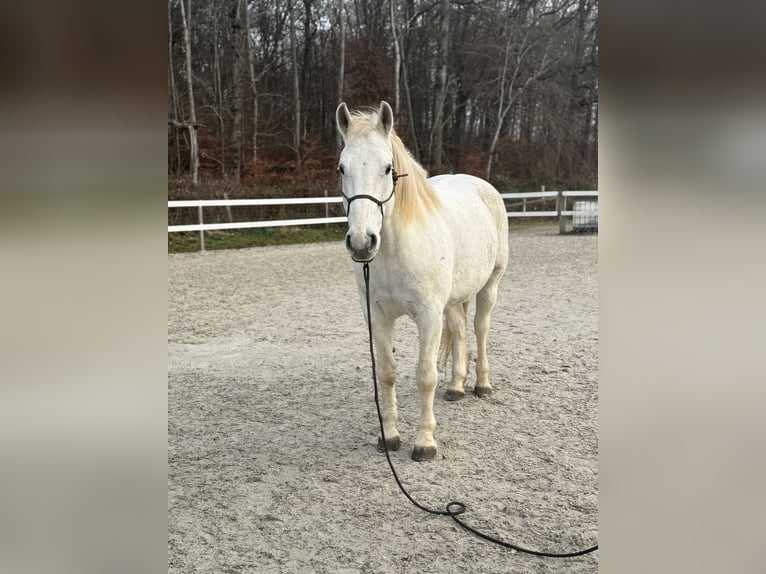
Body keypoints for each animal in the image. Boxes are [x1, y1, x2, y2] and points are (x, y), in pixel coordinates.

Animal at [338, 102, 510, 464]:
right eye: (341, 168)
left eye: (387, 168)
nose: (361, 243)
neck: (397, 248)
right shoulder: (376, 316)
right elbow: (386, 373)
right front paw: (389, 437)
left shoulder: (428, 315)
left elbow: (425, 375)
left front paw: (425, 443)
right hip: (453, 299)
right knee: (460, 330)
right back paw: (456, 388)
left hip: (490, 286)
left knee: (480, 329)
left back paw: (482, 385)